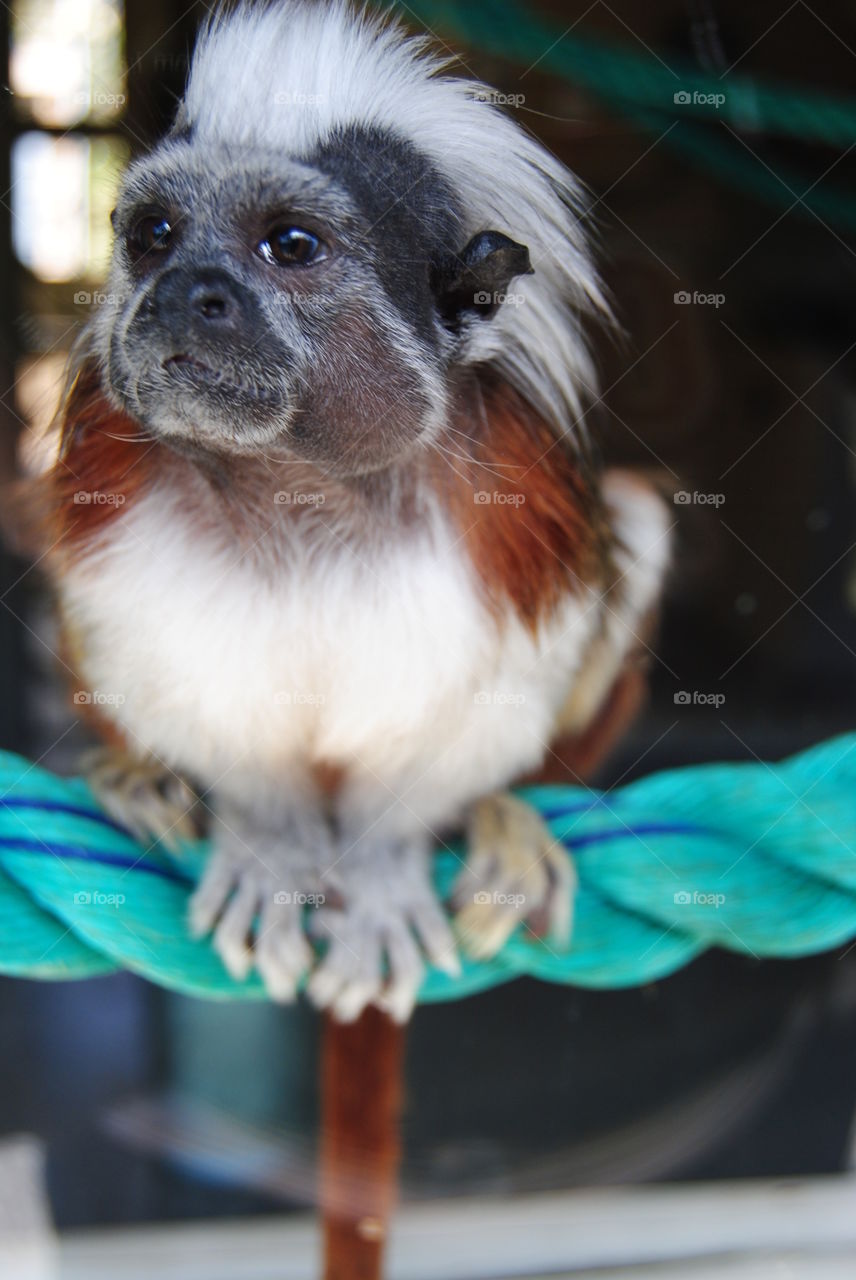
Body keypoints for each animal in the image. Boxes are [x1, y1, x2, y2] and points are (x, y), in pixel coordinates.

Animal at [29, 0, 671, 1022]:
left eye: (290, 246)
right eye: (157, 234)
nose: (184, 293)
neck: (301, 485)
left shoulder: (514, 520)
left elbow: (467, 722)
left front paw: (381, 871)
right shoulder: (115, 512)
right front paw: (266, 844)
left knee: (640, 519)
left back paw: (506, 823)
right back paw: (138, 776)